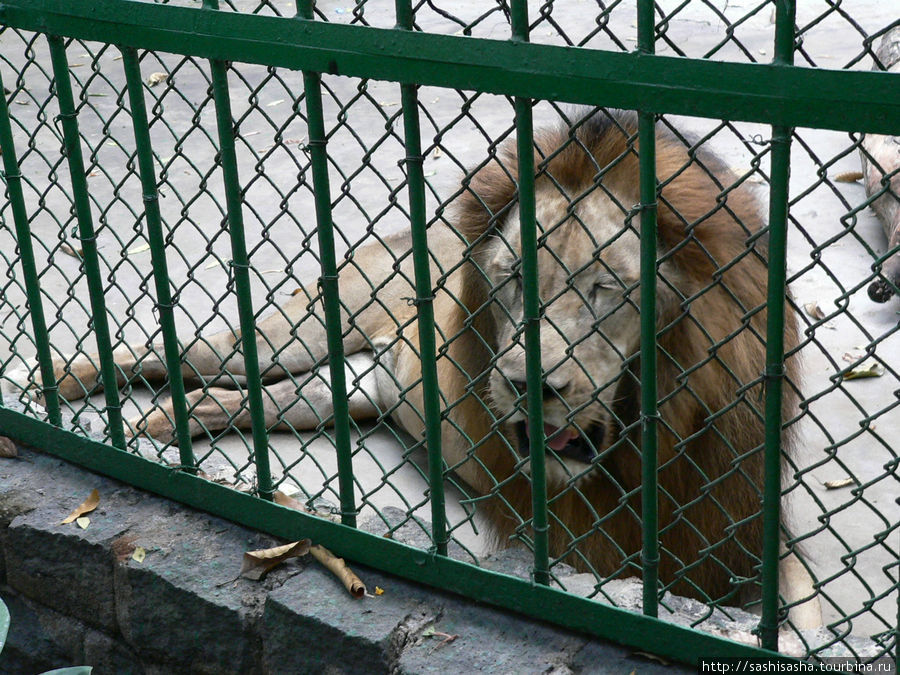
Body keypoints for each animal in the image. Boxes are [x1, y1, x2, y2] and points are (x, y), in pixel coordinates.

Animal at [8, 109, 824, 624]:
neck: (639, 450)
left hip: (340, 391)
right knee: (173, 349)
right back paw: (63, 379)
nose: (525, 382)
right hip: (284, 335)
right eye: (512, 278)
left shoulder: (752, 528)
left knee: (257, 400)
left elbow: (801, 617)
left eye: (605, 288)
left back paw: (176, 418)